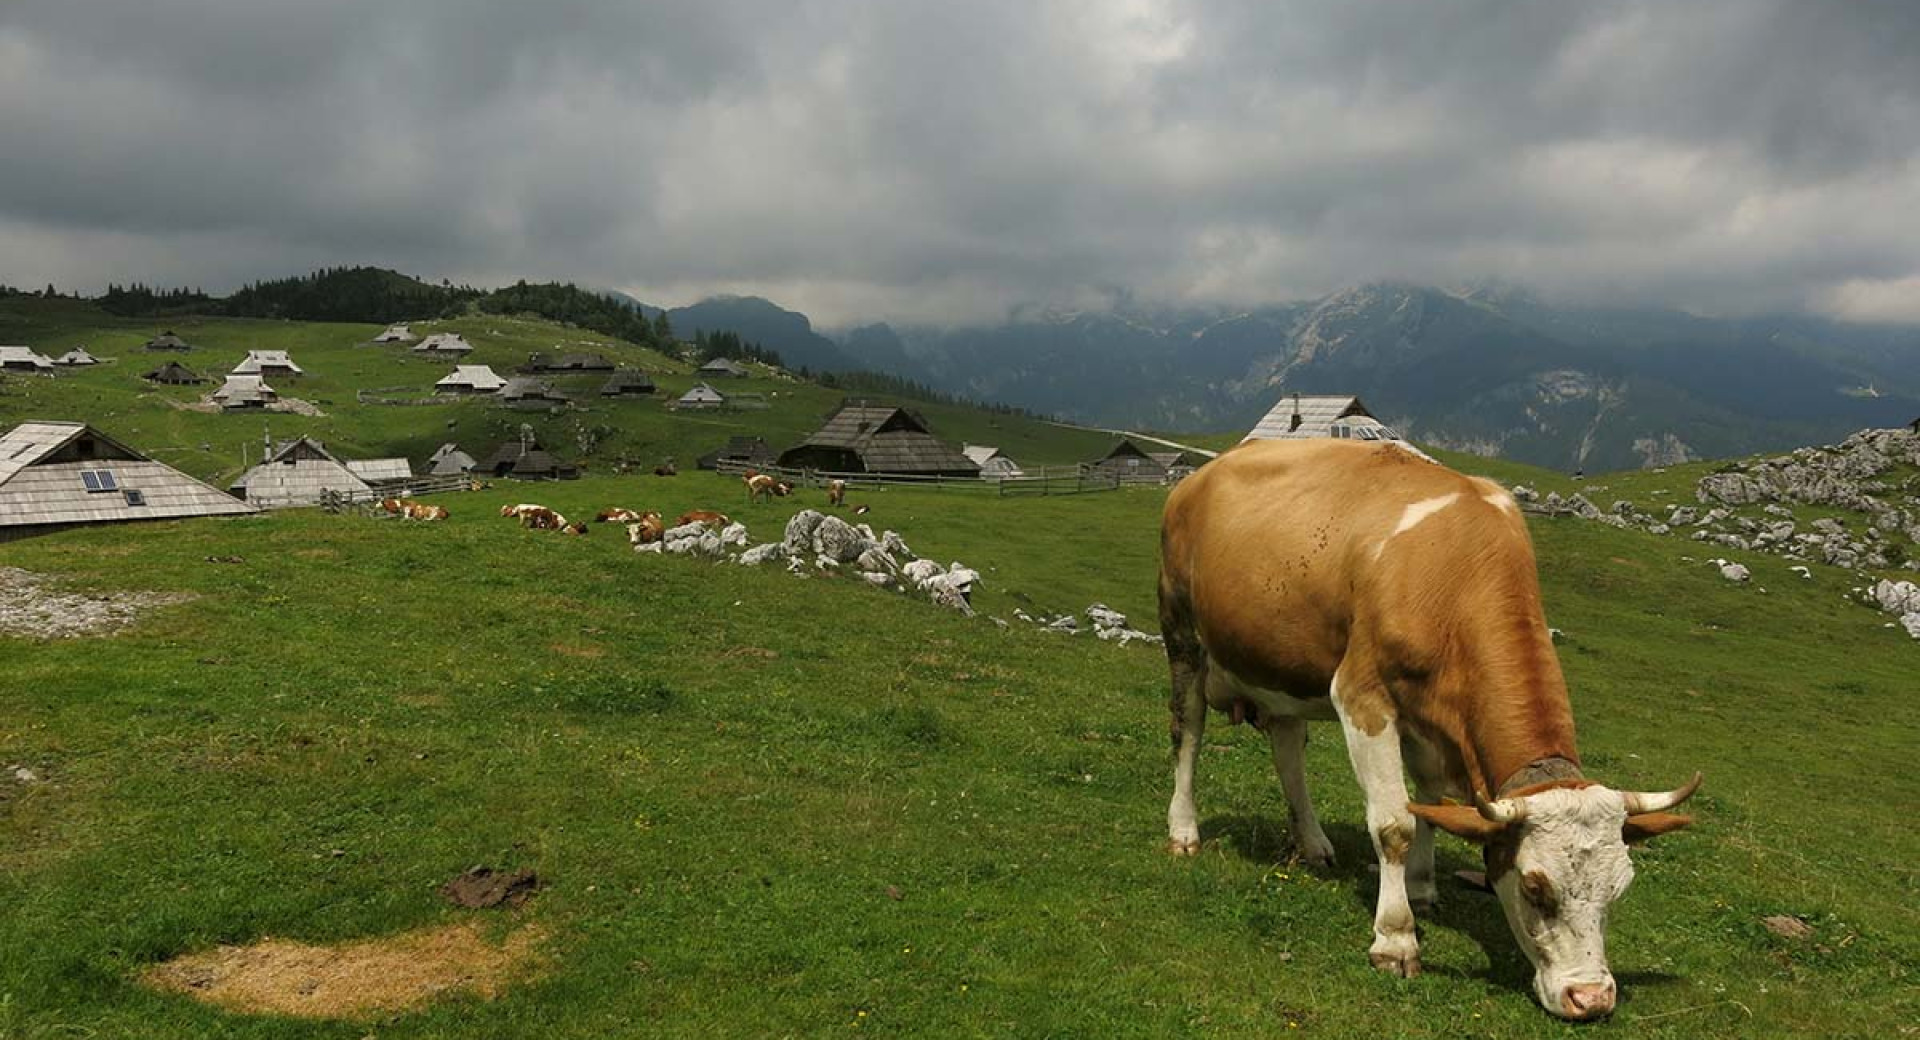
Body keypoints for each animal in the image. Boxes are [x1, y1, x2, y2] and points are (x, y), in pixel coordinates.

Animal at [1152, 435, 1697, 1020]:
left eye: (1619, 891)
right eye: (1535, 888)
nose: (1591, 998)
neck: (1454, 569)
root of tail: (1202, 475)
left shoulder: (1431, 722)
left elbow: (1431, 807)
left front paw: (1420, 887)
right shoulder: (1362, 696)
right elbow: (1395, 823)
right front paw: (1396, 938)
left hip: (1280, 656)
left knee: (1287, 744)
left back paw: (1313, 842)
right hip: (1182, 632)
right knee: (1188, 732)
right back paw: (1184, 830)